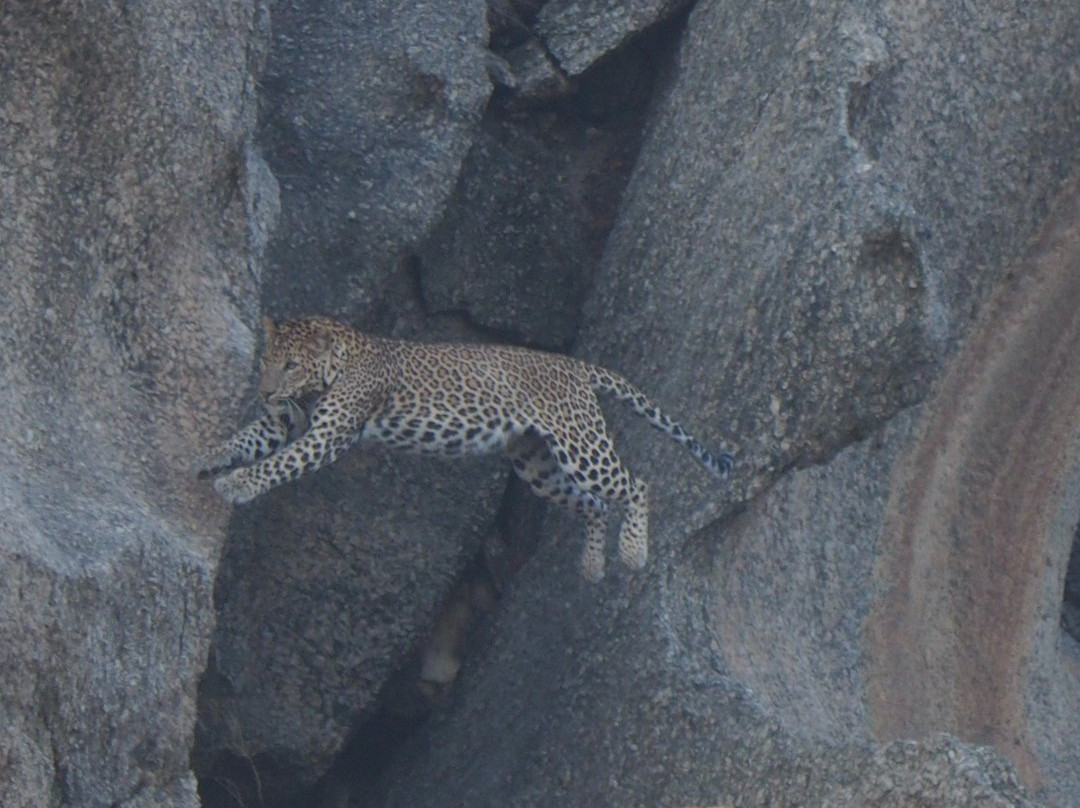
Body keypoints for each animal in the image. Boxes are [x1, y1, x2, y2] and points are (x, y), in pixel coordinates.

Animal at [198, 316, 733, 581]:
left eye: (291, 364)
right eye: (266, 360)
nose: (265, 391)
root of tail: (576, 366)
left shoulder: (329, 435)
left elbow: (278, 463)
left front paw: (238, 483)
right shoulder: (283, 421)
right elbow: (248, 439)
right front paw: (208, 458)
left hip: (581, 445)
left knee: (637, 484)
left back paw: (633, 553)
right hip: (538, 464)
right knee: (595, 505)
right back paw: (592, 566)